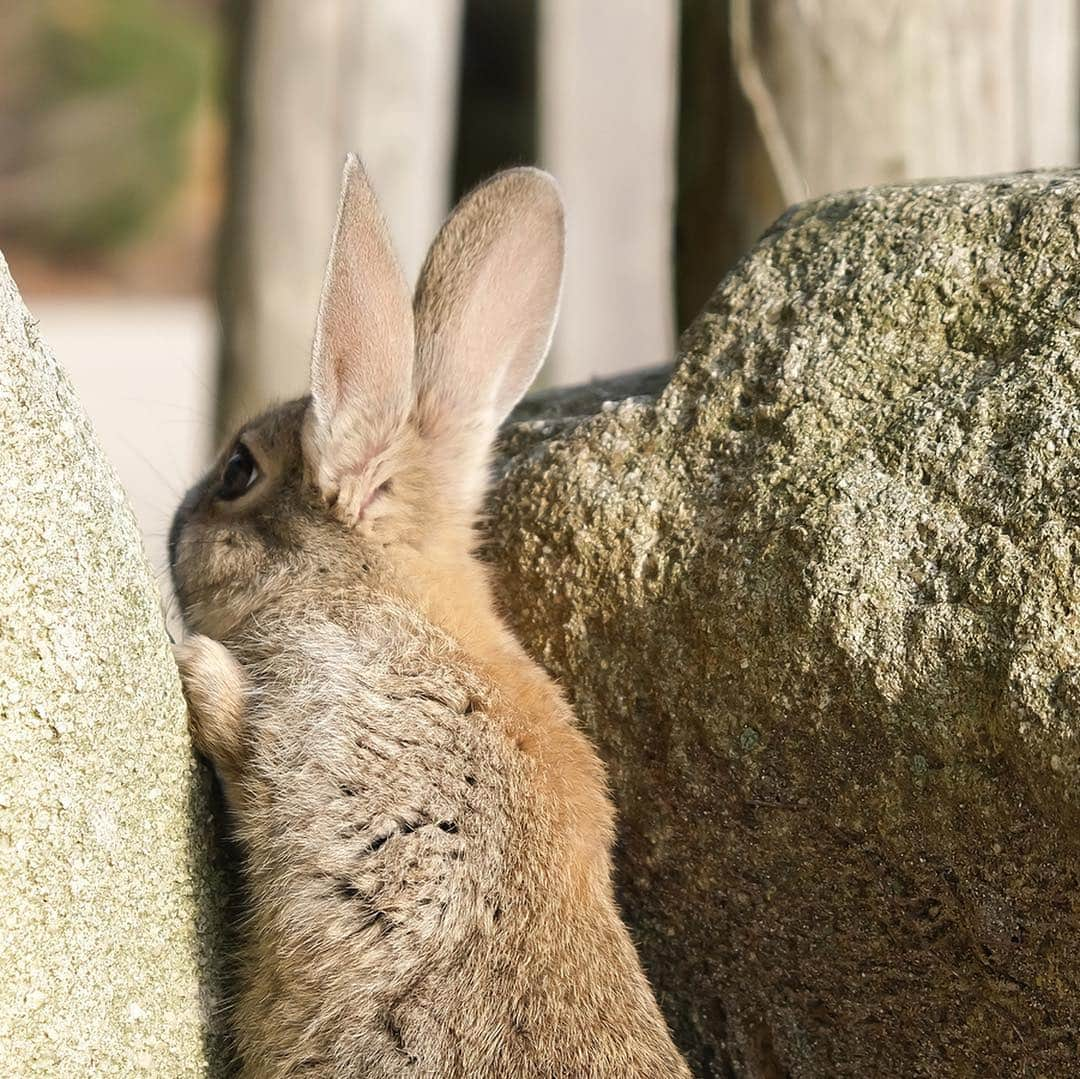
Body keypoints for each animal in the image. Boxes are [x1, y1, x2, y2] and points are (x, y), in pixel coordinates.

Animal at [168, 154, 691, 1079]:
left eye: (237, 471)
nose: (173, 526)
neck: (383, 590)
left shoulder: (324, 737)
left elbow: (252, 755)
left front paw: (200, 666)